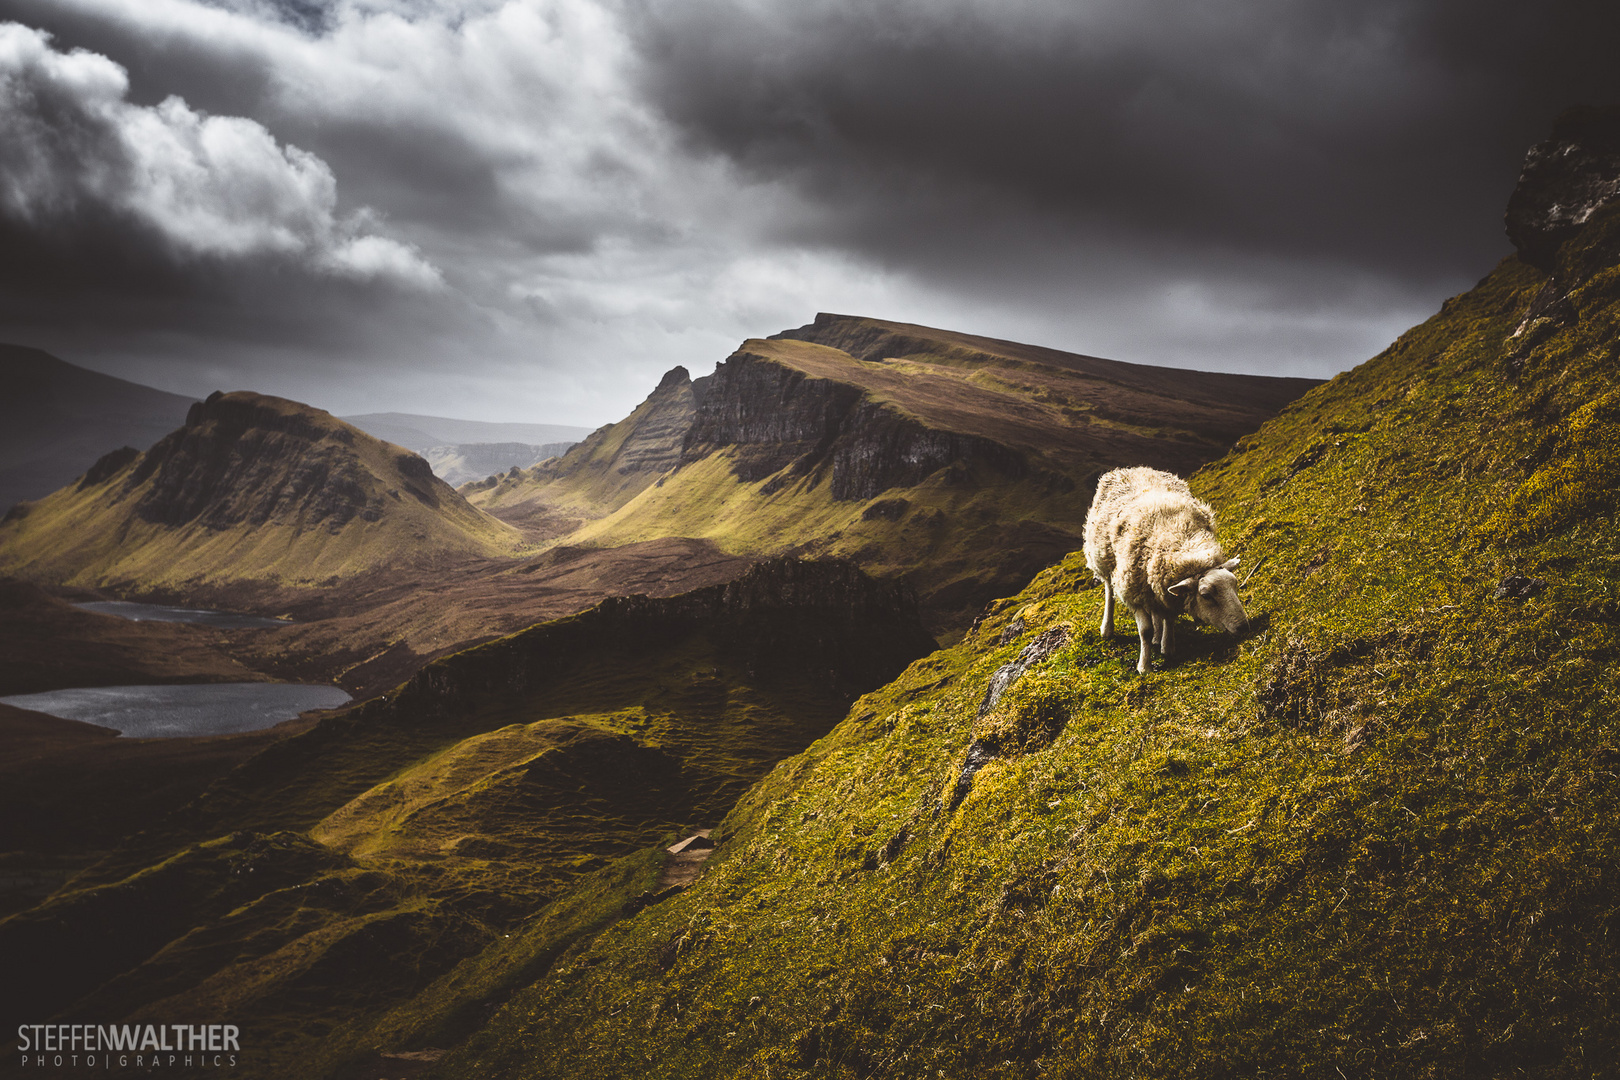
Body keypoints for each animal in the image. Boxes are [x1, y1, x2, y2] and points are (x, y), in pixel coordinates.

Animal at [1088, 466, 1250, 670]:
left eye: (1235, 586)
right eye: (1206, 595)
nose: (1244, 627)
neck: (1182, 539)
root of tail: (1131, 468)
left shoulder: (1166, 589)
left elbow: (1169, 618)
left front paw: (1167, 647)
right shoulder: (1134, 592)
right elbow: (1145, 631)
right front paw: (1144, 666)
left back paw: (1158, 637)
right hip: (1102, 559)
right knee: (1109, 590)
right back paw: (1107, 629)